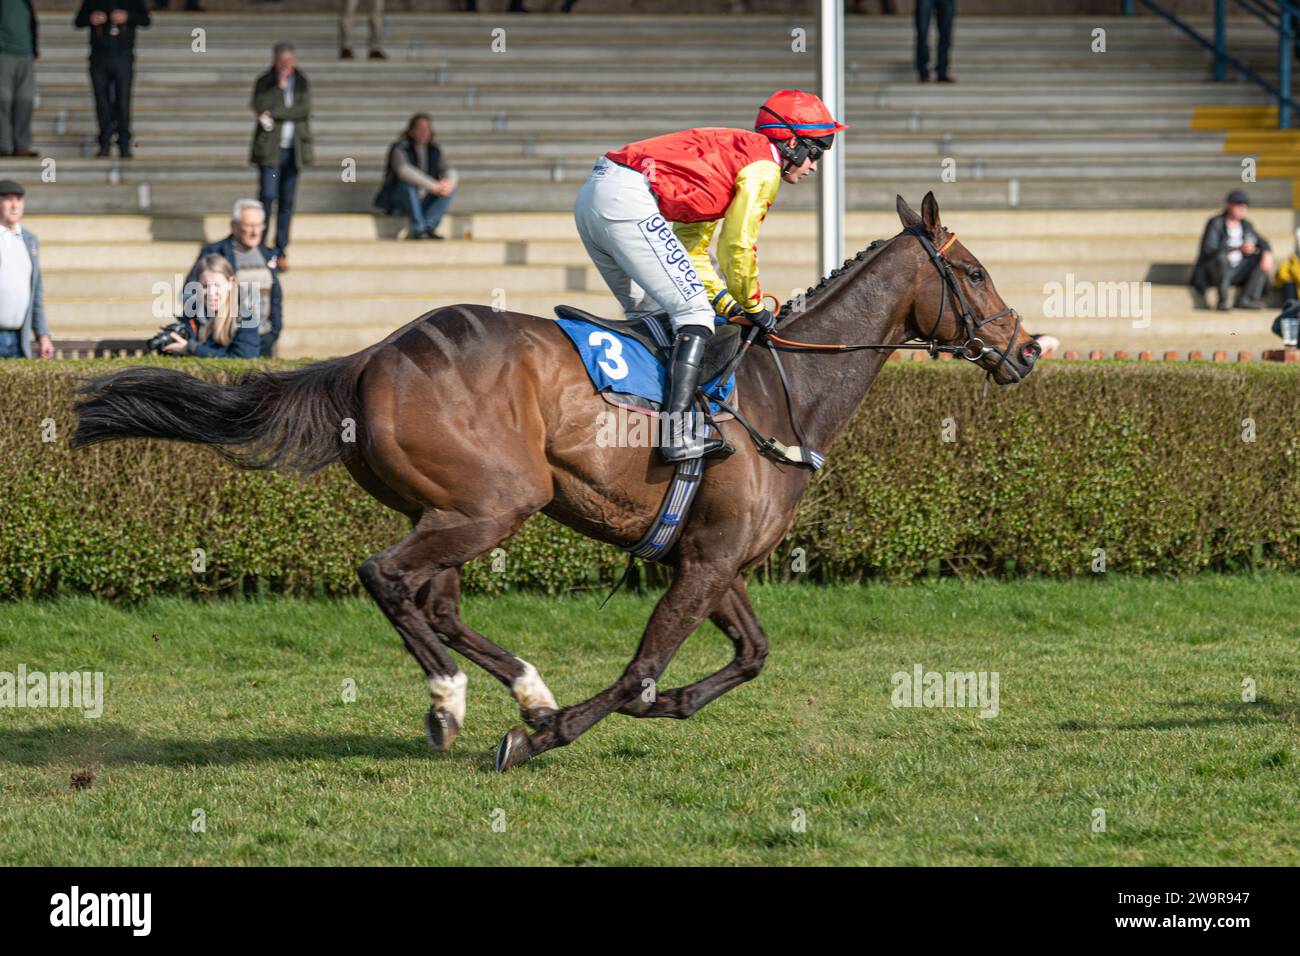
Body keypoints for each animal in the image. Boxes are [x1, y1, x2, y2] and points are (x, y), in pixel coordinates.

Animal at [76, 192, 1040, 770]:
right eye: (976, 272)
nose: (1028, 350)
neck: (786, 392)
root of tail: (367, 358)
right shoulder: (704, 560)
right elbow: (641, 673)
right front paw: (546, 735)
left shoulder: (710, 557)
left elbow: (749, 655)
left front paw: (608, 709)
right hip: (495, 503)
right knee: (386, 577)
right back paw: (454, 702)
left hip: (453, 507)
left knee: (435, 603)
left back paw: (518, 688)